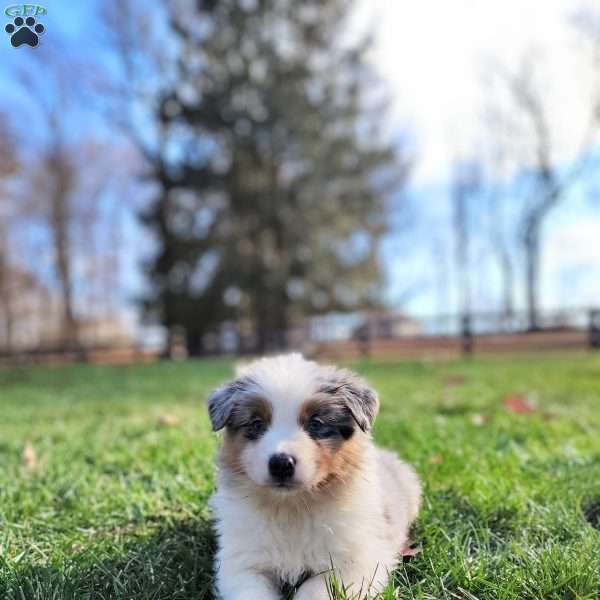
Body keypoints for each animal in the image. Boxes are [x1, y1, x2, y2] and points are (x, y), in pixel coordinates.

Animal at [209, 354, 420, 596]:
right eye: (256, 423)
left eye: (316, 423)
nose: (281, 464)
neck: (291, 508)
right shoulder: (241, 563)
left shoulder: (357, 562)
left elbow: (314, 587)